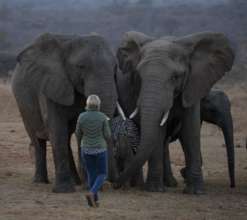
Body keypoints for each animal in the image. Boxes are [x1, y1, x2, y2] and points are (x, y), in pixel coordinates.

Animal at [12, 32, 118, 192]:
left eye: (114, 67)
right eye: (81, 67)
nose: (110, 183)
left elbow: (81, 130)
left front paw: (87, 187)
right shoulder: (50, 85)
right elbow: (56, 127)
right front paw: (64, 190)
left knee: (65, 138)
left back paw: (76, 182)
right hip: (23, 106)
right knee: (38, 140)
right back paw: (40, 181)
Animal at [115, 31, 234, 194]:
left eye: (175, 77)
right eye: (138, 76)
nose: (115, 184)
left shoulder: (192, 86)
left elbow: (190, 131)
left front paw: (195, 191)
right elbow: (158, 132)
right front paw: (155, 190)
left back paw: (168, 183)